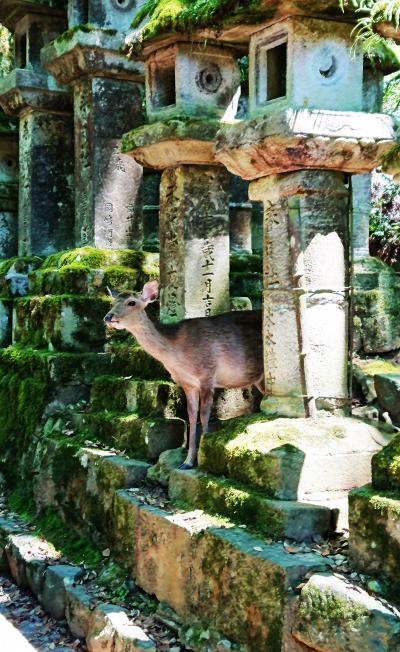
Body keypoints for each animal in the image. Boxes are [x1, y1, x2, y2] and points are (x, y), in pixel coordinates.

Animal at [104, 280, 264, 468]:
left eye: (131, 302)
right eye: (112, 303)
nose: (108, 317)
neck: (178, 357)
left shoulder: (207, 374)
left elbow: (204, 415)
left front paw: (203, 456)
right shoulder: (187, 383)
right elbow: (191, 415)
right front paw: (187, 461)